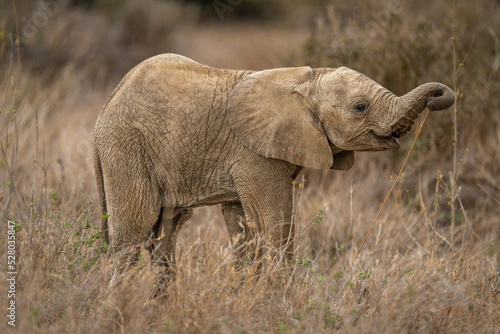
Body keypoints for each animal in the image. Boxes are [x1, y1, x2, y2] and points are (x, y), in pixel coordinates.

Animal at [93, 52, 454, 268]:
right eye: (360, 107)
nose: (439, 97)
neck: (306, 81)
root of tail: (103, 111)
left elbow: (244, 227)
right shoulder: (254, 153)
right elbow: (273, 223)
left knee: (165, 234)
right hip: (126, 148)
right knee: (133, 232)